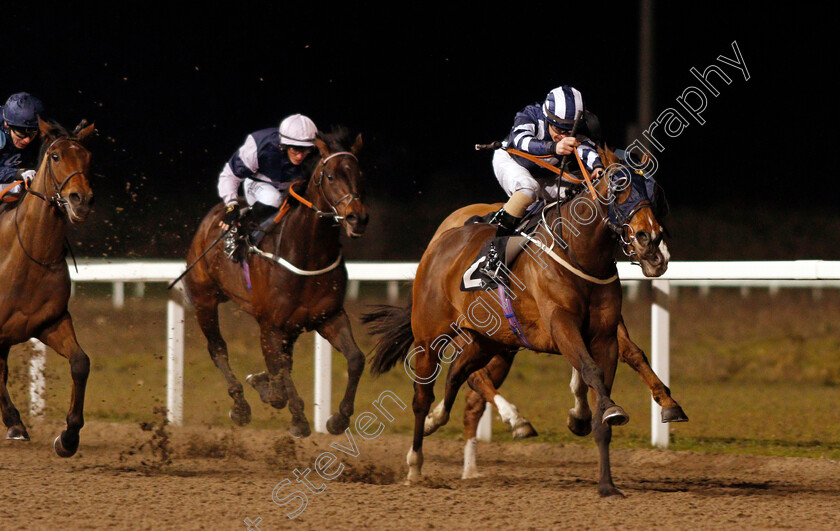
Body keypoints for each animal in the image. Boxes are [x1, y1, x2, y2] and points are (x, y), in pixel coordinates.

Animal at [0, 117, 97, 458]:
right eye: (55, 157)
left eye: (88, 157)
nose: (82, 199)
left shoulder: (50, 321)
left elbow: (81, 363)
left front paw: (68, 437)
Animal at [184, 128, 368, 436]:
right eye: (330, 176)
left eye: (360, 174)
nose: (358, 218)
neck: (307, 254)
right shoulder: (270, 324)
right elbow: (280, 378)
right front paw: (298, 419)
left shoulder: (328, 316)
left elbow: (355, 359)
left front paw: (338, 418)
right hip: (204, 299)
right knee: (218, 349)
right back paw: (240, 406)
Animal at [366, 153, 668, 494]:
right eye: (619, 187)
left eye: (655, 191)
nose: (651, 241)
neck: (579, 253)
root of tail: (440, 241)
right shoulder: (561, 325)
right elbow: (590, 371)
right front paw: (599, 412)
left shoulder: (604, 336)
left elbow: (604, 381)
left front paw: (607, 484)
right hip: (430, 338)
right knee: (422, 396)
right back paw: (416, 464)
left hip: (488, 340)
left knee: (459, 374)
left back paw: (440, 420)